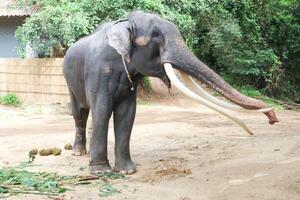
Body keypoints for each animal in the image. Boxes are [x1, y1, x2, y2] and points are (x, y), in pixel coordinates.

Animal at [63, 10, 278, 174]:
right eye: (156, 35)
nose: (273, 119)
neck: (125, 22)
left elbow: (127, 114)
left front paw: (127, 171)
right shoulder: (98, 71)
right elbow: (102, 110)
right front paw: (101, 172)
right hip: (69, 82)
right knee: (79, 113)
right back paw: (78, 152)